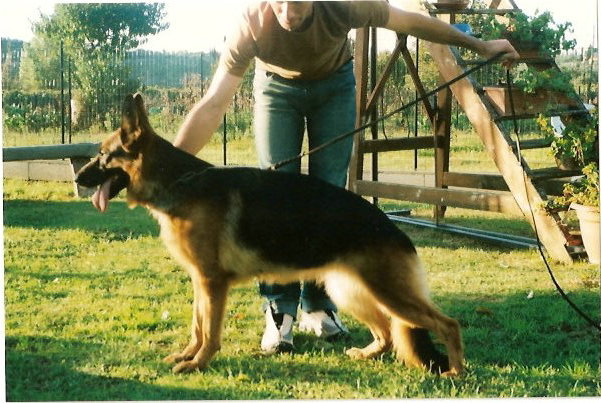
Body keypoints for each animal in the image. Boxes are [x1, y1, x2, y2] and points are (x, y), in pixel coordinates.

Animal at [75, 94, 464, 376]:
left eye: (103, 155)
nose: (77, 177)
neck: (178, 182)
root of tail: (392, 227)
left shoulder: (213, 283)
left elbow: (209, 331)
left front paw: (198, 364)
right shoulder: (200, 281)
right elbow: (197, 326)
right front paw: (187, 356)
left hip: (388, 293)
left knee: (448, 324)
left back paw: (455, 372)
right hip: (354, 291)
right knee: (386, 331)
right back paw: (368, 354)